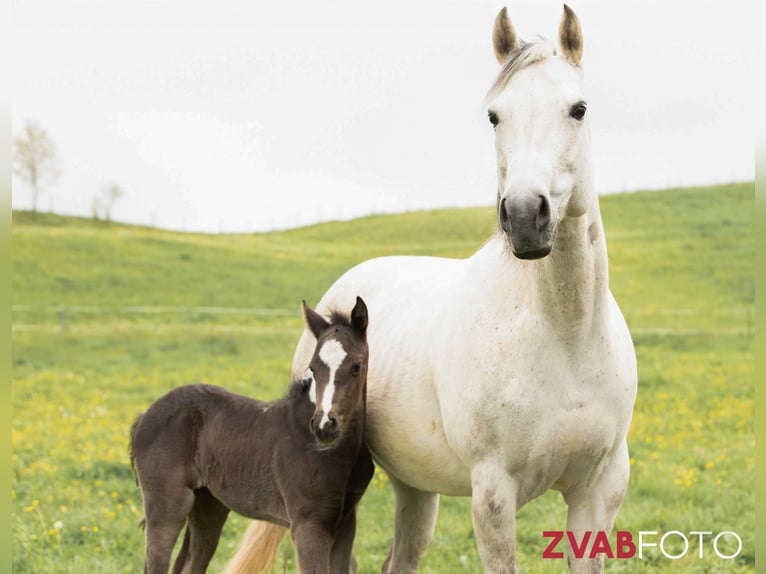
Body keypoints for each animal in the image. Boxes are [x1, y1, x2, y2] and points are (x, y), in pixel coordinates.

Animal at [130, 297, 374, 574]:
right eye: (313, 368)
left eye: (356, 367)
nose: (324, 424)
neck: (340, 452)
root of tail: (143, 416)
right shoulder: (309, 524)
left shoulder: (345, 523)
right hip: (167, 505)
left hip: (208, 505)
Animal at [227, 5, 637, 573]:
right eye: (494, 116)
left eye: (578, 109)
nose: (525, 217)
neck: (566, 337)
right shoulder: (493, 494)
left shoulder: (599, 491)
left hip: (414, 485)